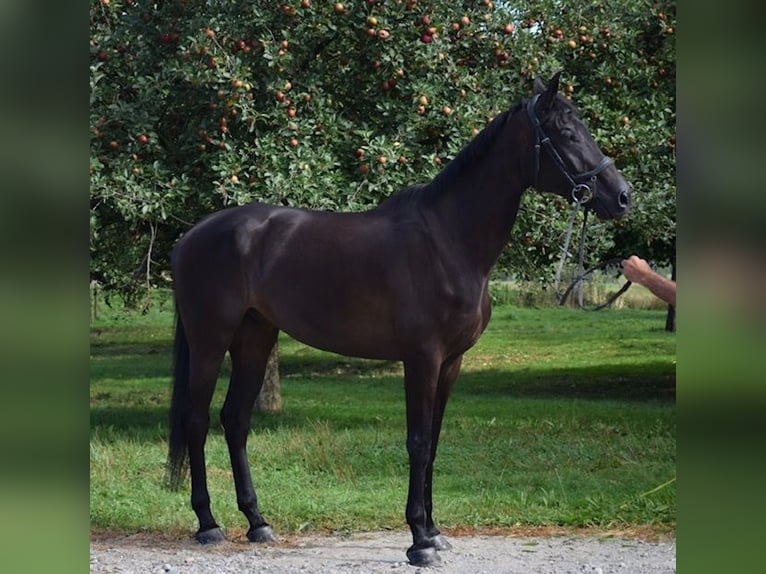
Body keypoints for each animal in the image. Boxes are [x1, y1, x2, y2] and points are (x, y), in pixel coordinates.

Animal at [167, 72, 631, 567]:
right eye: (566, 133)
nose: (622, 196)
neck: (448, 240)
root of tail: (191, 237)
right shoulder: (422, 358)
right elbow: (418, 441)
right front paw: (419, 541)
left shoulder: (451, 363)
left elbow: (435, 443)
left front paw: (435, 531)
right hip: (210, 340)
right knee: (196, 420)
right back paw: (208, 524)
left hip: (255, 338)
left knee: (235, 420)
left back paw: (258, 523)